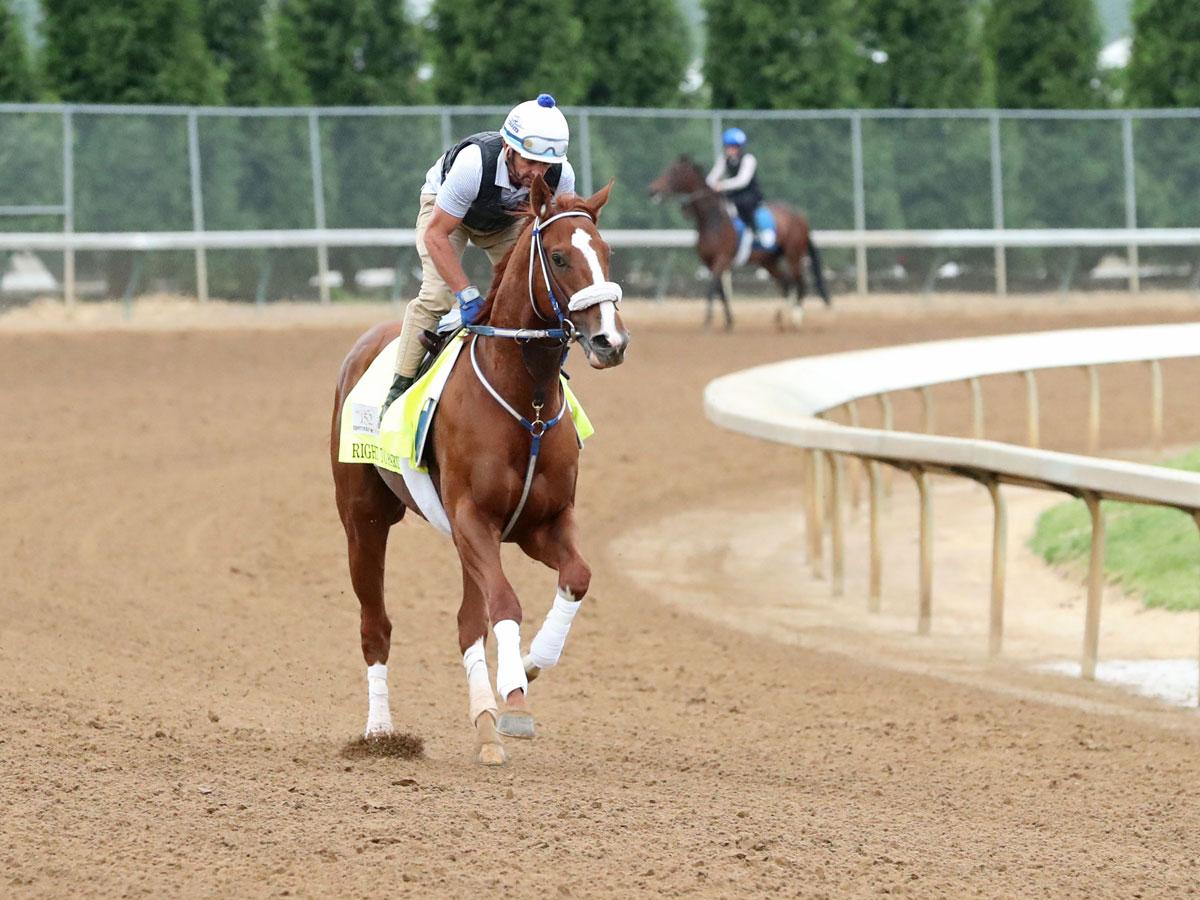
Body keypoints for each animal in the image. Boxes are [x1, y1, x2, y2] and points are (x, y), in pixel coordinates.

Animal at [330, 175, 629, 766]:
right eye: (559, 256)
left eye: (606, 252)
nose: (611, 341)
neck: (525, 403)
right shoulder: (474, 518)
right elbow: (506, 602)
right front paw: (514, 700)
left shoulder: (539, 522)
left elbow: (576, 578)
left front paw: (531, 667)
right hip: (364, 520)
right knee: (376, 624)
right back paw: (381, 732)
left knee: (468, 622)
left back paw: (484, 725)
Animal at [648, 154, 831, 331]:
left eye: (673, 171)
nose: (652, 190)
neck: (713, 220)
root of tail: (801, 216)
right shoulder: (708, 262)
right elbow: (720, 292)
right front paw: (729, 321)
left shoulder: (722, 259)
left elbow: (711, 288)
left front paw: (707, 322)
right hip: (769, 261)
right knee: (787, 283)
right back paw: (780, 318)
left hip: (793, 255)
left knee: (800, 282)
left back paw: (796, 319)